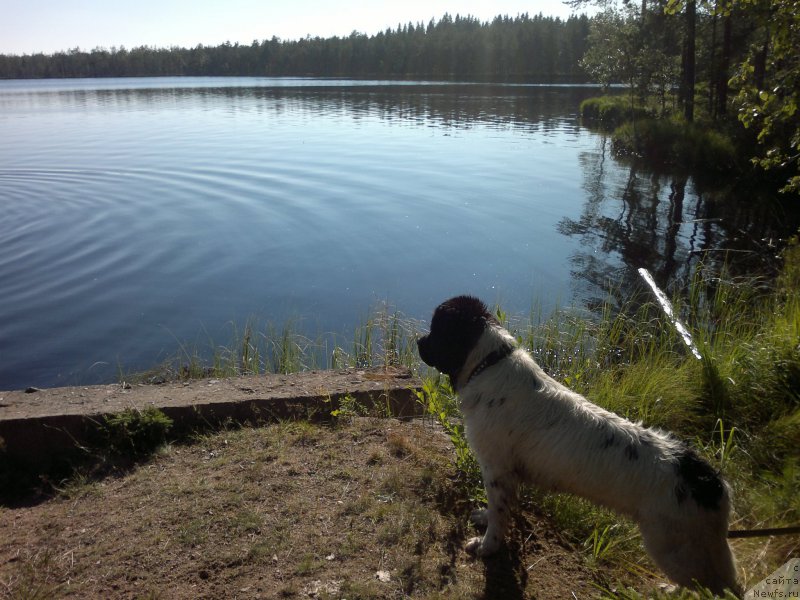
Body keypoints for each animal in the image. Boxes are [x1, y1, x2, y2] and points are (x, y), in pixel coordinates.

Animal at [418, 296, 736, 596]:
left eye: (436, 329)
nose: (419, 341)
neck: (489, 364)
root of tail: (708, 480)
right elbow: (498, 510)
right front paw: (483, 518)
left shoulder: (497, 470)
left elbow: (499, 516)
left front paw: (486, 547)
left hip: (673, 547)